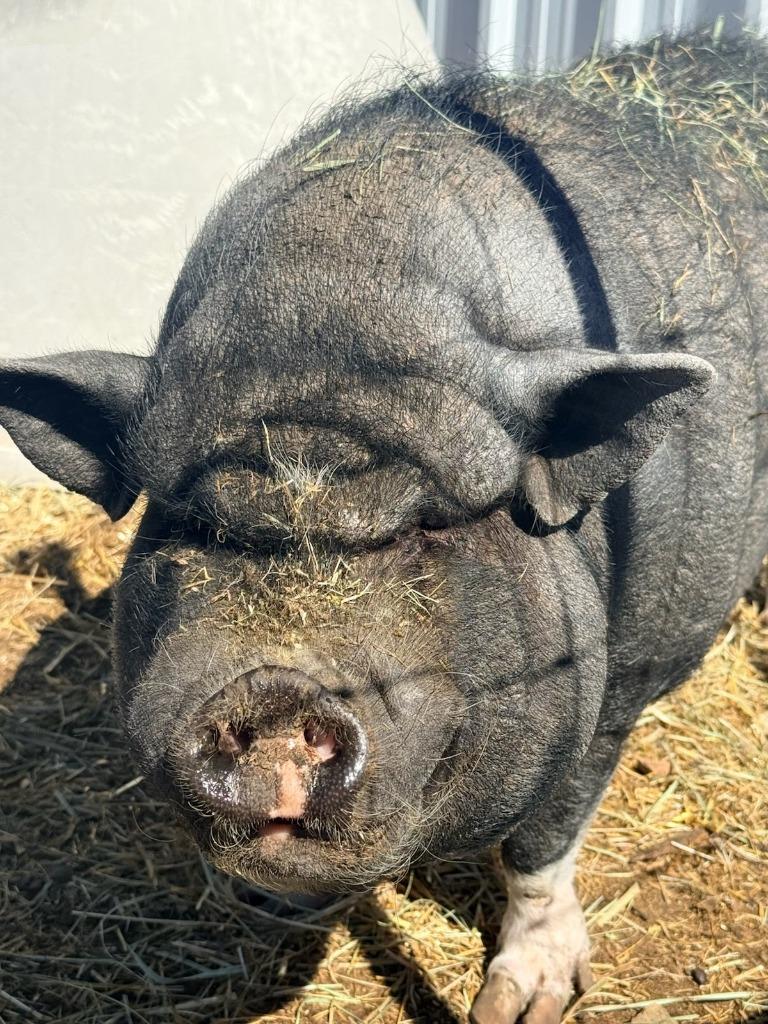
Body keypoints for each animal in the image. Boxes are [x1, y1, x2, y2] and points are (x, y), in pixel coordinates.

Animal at [1, 32, 766, 1024]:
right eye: (192, 525)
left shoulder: (631, 674)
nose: (275, 695)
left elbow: (543, 843)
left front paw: (518, 1004)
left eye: (426, 528)